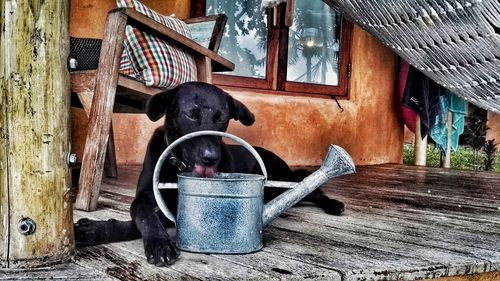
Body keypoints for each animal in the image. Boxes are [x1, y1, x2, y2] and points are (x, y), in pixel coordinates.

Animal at [75, 81, 344, 264]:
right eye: (190, 114)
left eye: (222, 118)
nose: (210, 157)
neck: (178, 165)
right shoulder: (144, 197)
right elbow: (143, 217)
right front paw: (97, 230)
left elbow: (145, 221)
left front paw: (158, 243)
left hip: (283, 180)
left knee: (311, 190)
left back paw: (334, 204)